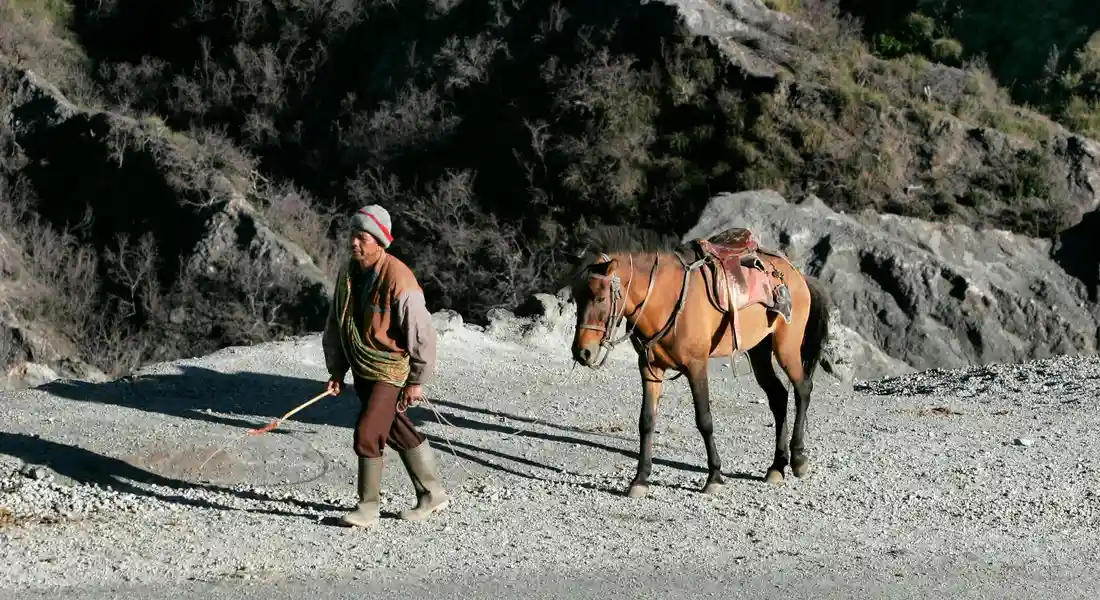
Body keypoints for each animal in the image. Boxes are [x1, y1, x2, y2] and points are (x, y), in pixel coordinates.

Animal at [566, 225, 831, 498]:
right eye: (575, 297)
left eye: (599, 298)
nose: (582, 352)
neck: (665, 297)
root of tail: (798, 275)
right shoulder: (650, 368)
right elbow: (646, 421)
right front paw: (640, 479)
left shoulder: (696, 367)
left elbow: (704, 420)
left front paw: (714, 476)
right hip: (759, 350)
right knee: (779, 397)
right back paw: (777, 466)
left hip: (786, 348)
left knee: (802, 390)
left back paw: (798, 459)